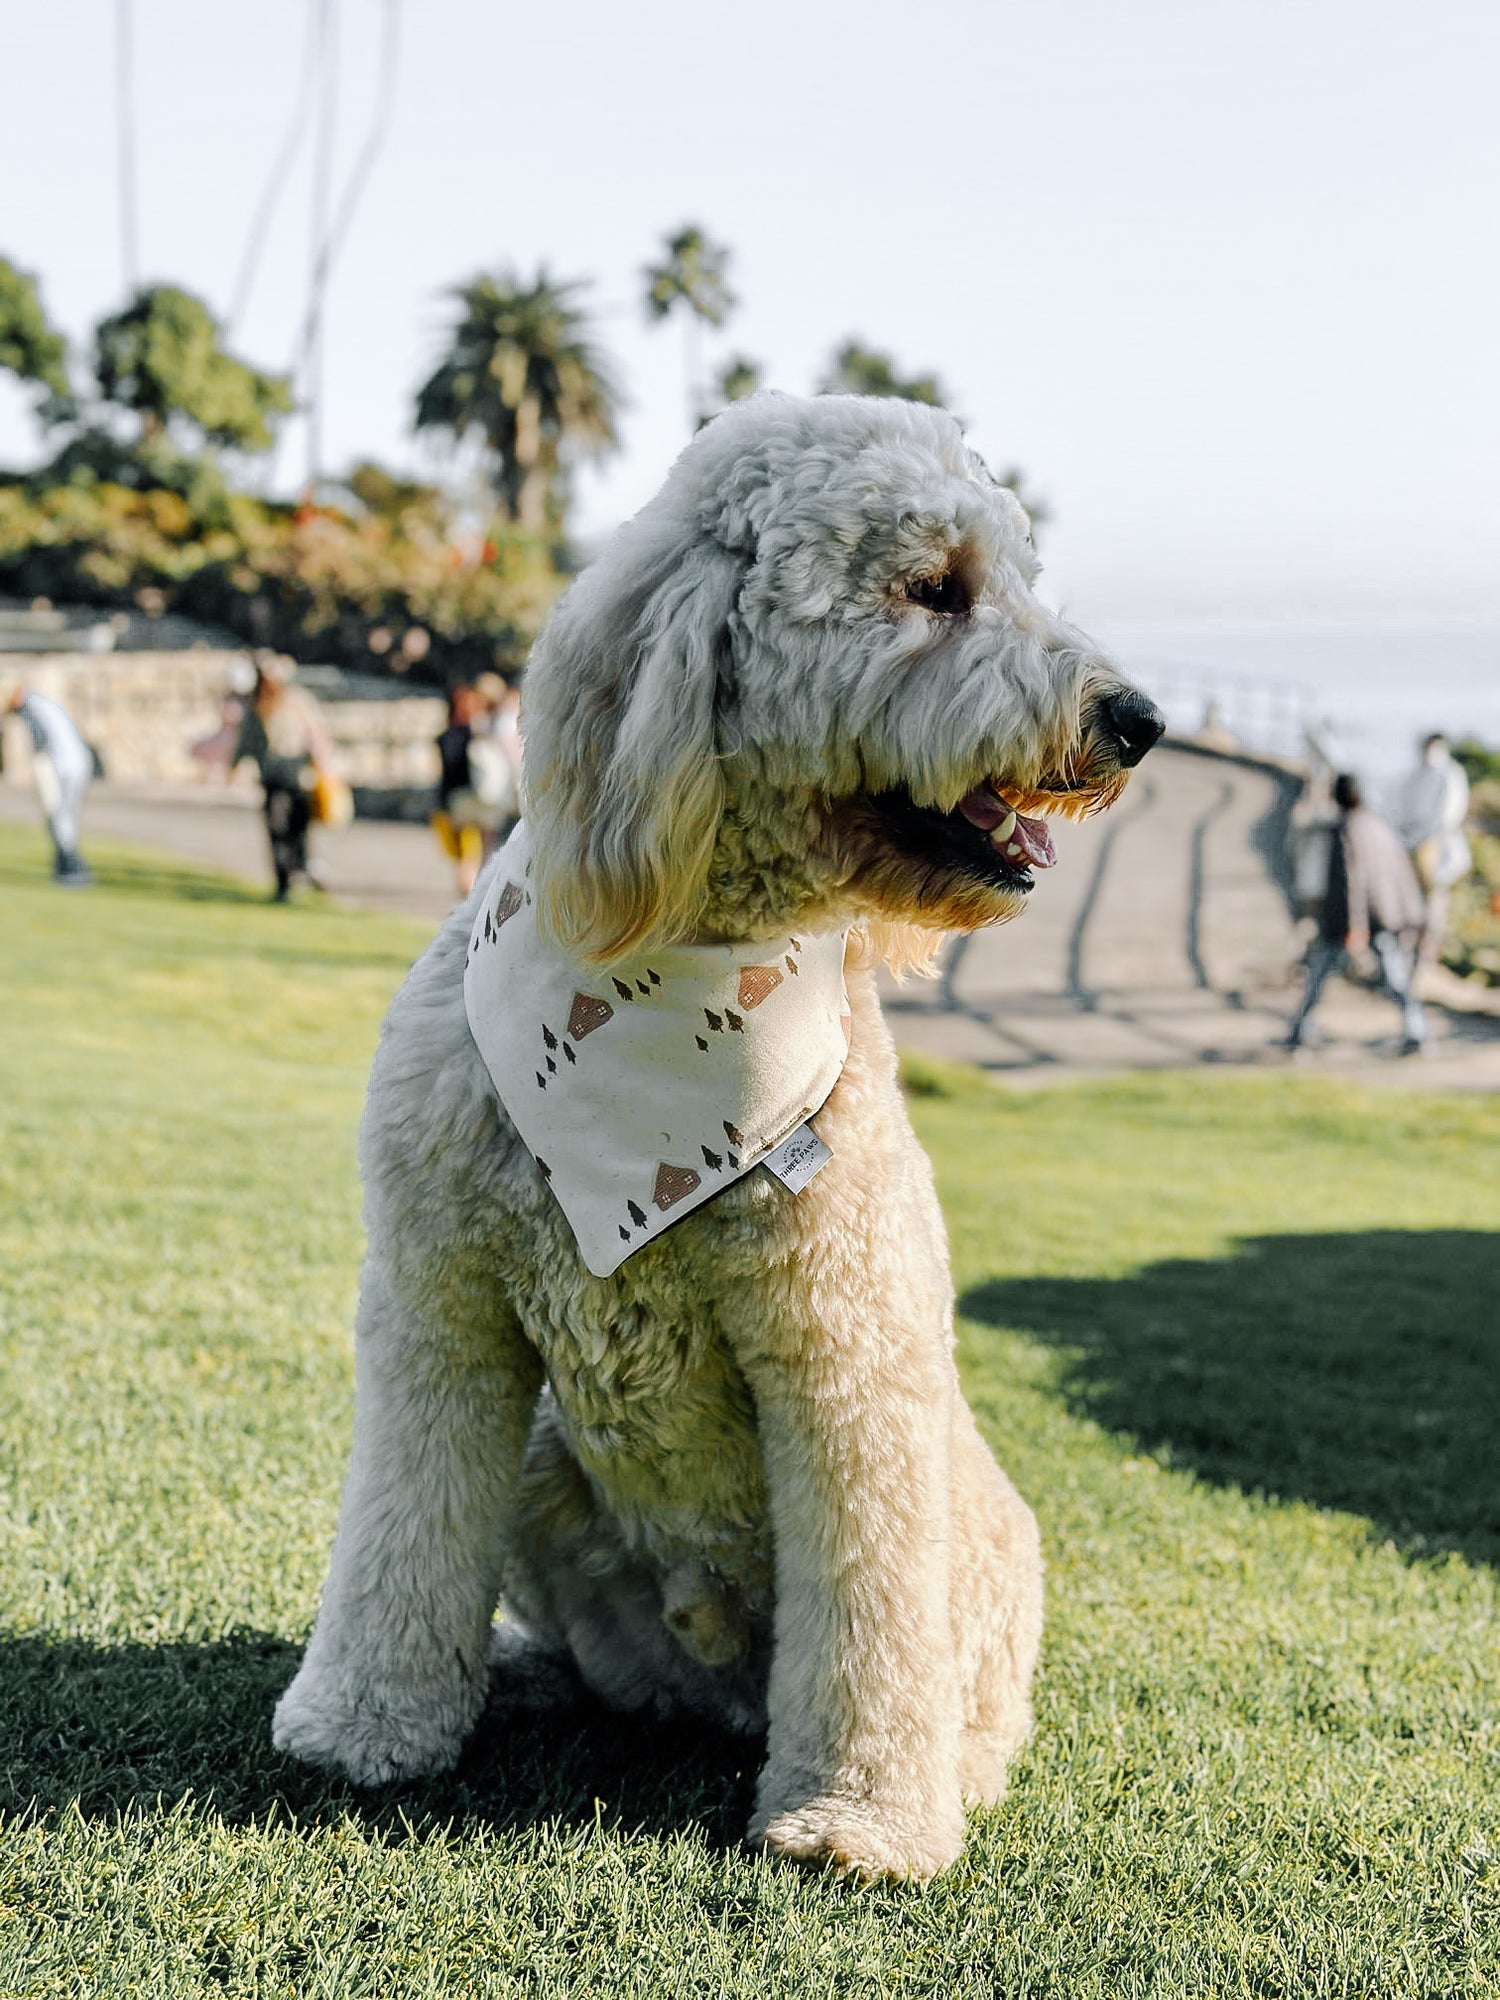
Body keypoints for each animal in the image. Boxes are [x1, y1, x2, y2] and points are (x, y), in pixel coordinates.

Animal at [276, 390, 1168, 1872]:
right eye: (934, 588)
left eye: (1023, 577)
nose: (1139, 717)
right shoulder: (439, 1308)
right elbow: (403, 1529)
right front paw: (362, 1721)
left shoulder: (847, 1352)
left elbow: (870, 1608)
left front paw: (861, 1820)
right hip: (542, 1450)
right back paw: (531, 1674)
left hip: (976, 1526)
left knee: (961, 1686)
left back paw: (944, 1772)